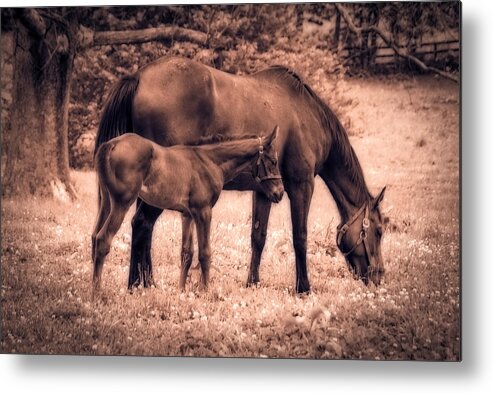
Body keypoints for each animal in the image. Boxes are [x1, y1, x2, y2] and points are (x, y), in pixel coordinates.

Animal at [92, 125, 282, 294]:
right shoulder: (203, 211)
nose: (279, 193)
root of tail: (111, 144)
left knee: (94, 237)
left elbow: (186, 253)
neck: (209, 161)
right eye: (274, 161)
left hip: (107, 202)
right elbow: (205, 252)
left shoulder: (187, 215)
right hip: (122, 202)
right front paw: (205, 291)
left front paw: (182, 290)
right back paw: (97, 292)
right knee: (103, 239)